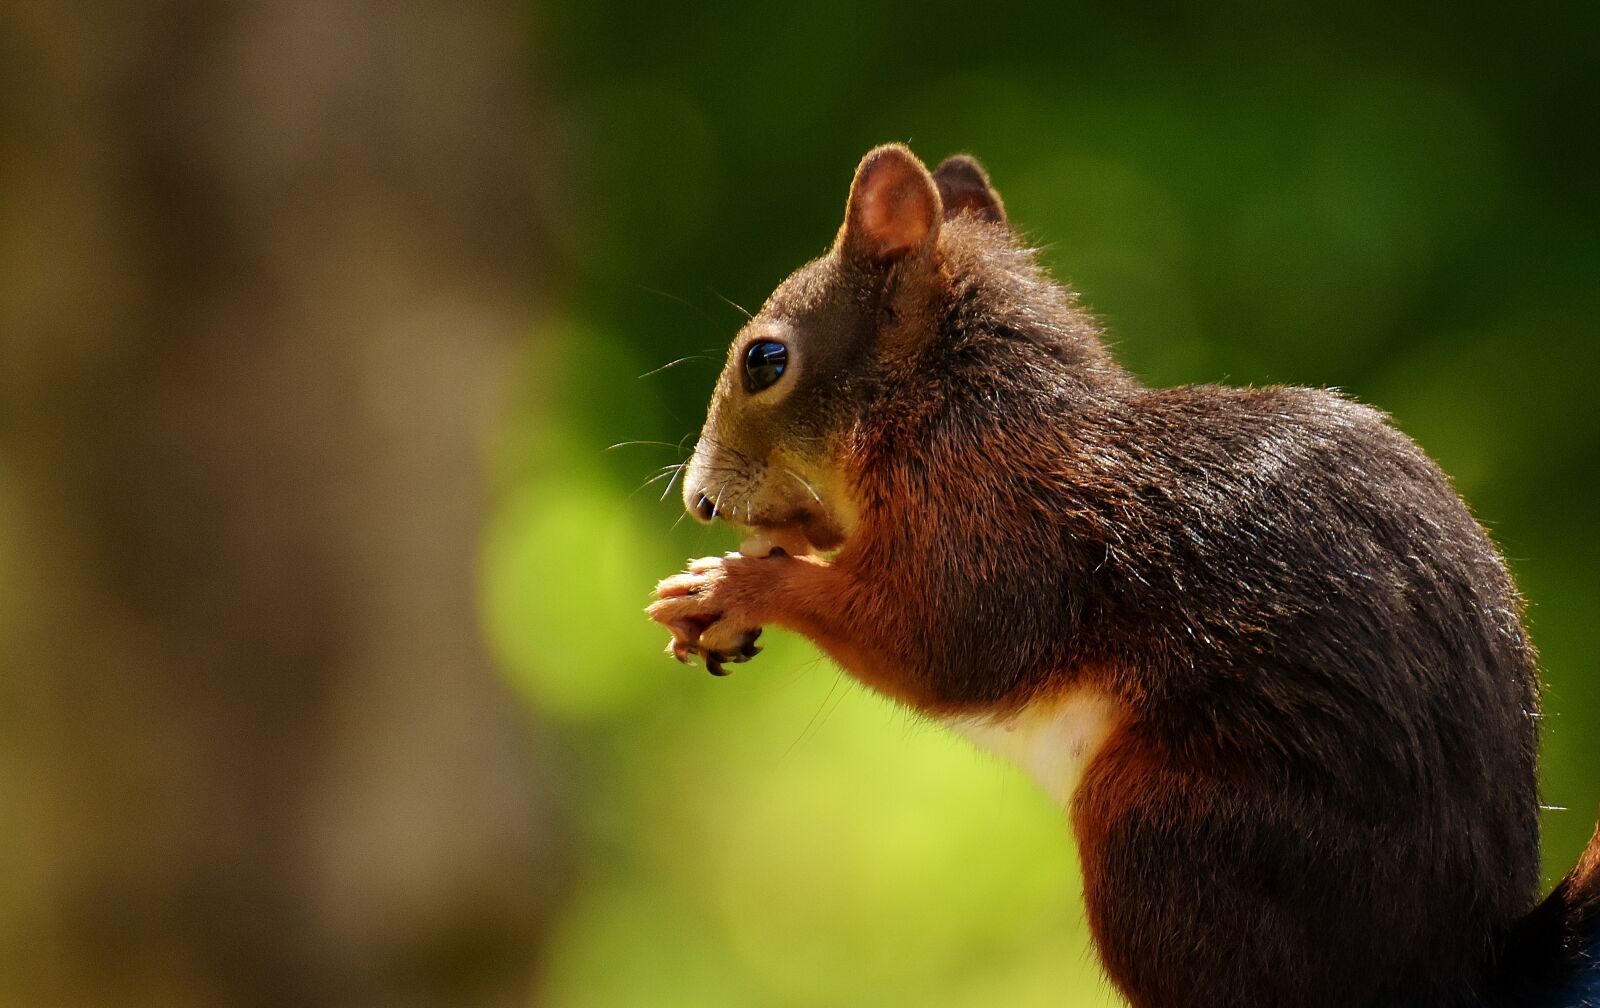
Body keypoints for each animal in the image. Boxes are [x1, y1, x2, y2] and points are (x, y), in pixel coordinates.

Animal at [647, 143, 1600, 1007]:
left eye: (765, 361)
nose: (698, 501)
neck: (944, 413)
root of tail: (1462, 972)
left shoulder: (993, 534)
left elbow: (940, 647)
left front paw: (735, 586)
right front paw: (721, 585)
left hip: (1164, 835)